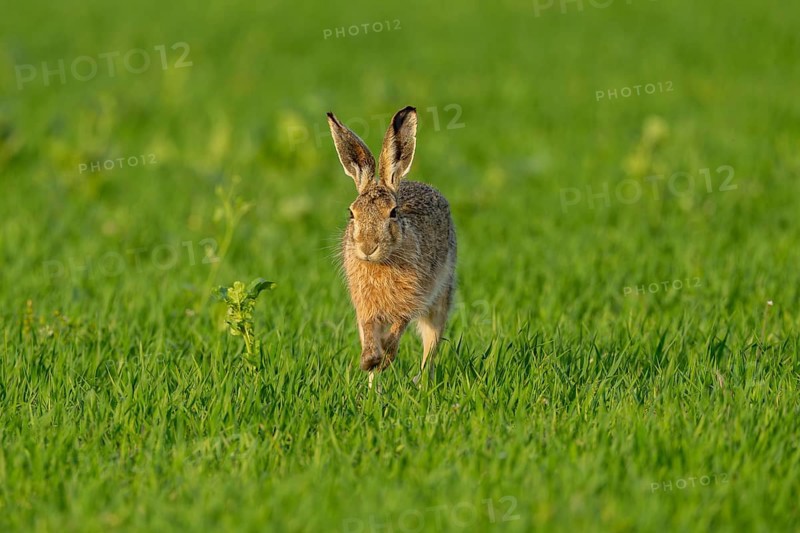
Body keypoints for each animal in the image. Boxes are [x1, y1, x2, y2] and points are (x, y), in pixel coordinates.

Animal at [327, 106, 457, 387]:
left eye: (393, 213)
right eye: (351, 213)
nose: (367, 246)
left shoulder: (411, 300)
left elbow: (399, 327)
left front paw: (385, 356)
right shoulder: (365, 307)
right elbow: (368, 333)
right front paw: (369, 361)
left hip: (440, 298)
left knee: (430, 346)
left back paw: (420, 382)